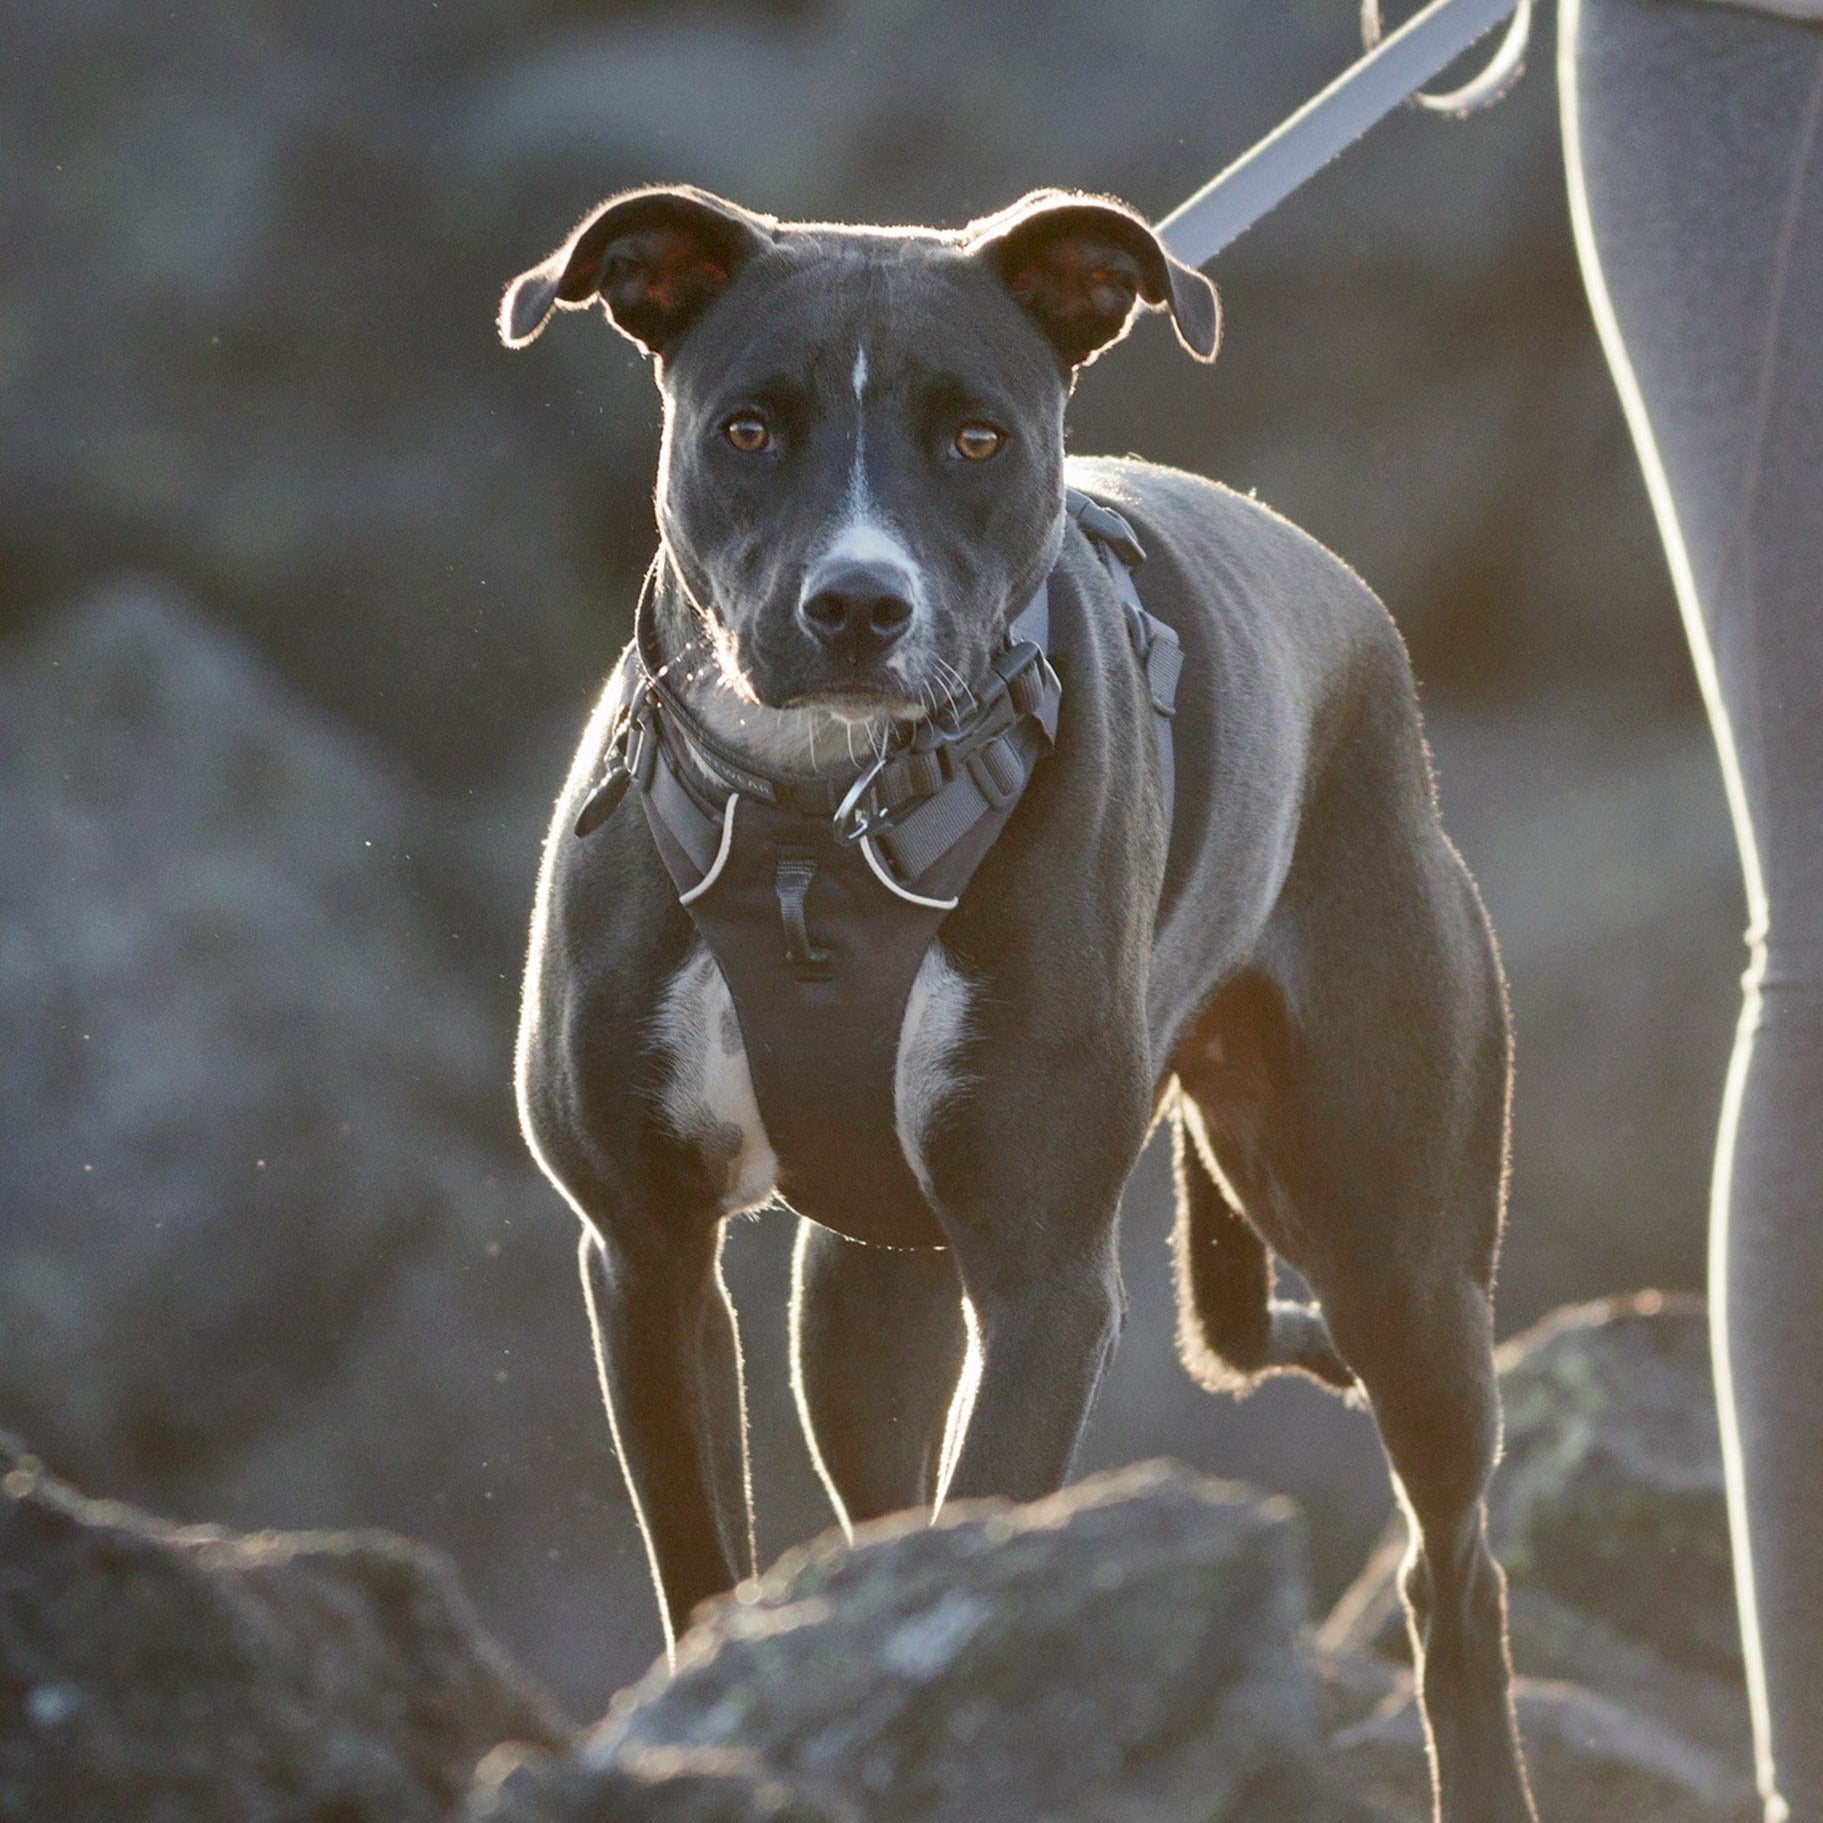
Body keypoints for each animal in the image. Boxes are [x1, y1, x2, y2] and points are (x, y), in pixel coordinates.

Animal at [499, 188, 1538, 1823]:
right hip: (867, 1290)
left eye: (976, 437)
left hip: (1400, 1263)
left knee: (1455, 1574)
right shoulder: (646, 1253)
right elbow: (709, 1565)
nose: (857, 604)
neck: (814, 818)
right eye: (747, 428)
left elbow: (992, 1517)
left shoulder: (1044, 1277)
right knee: (882, 1503)